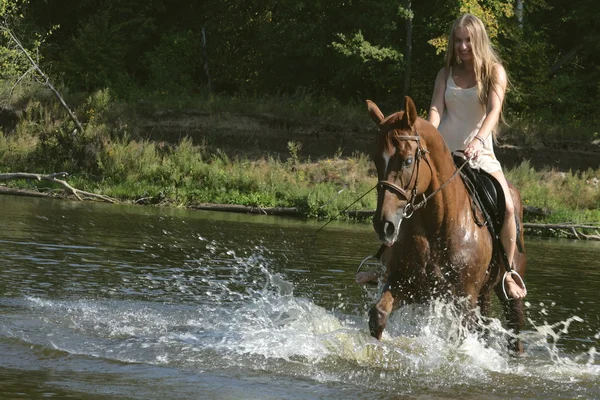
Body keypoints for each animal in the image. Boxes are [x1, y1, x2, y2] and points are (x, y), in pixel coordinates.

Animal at [366, 95, 524, 352]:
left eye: (407, 161)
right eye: (376, 160)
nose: (384, 225)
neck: (438, 224)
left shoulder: (464, 301)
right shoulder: (407, 285)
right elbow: (378, 315)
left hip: (509, 292)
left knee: (515, 334)